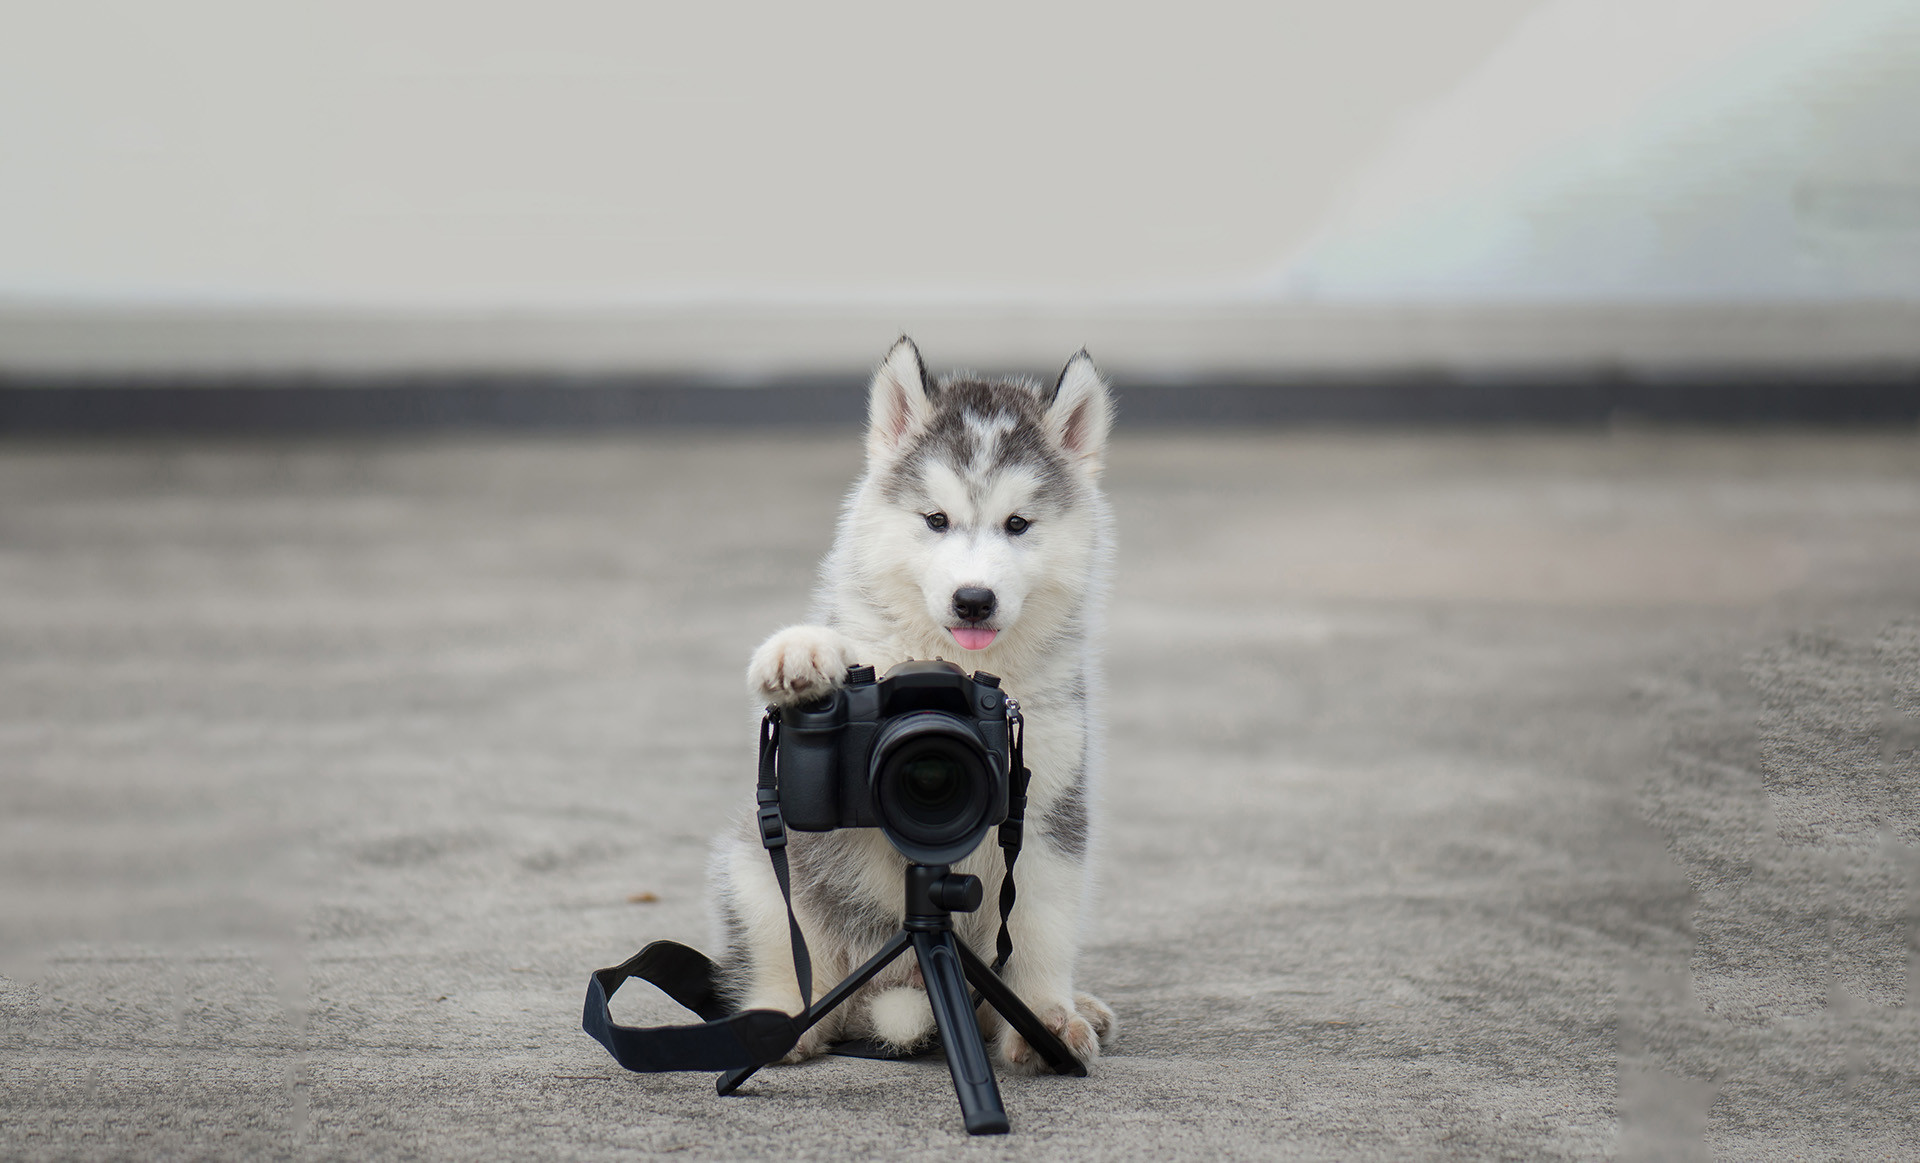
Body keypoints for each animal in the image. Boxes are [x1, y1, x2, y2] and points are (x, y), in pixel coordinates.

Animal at [714, 337, 1121, 1074]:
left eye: (1018, 524)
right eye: (935, 520)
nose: (974, 599)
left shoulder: (1048, 807)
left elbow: (1038, 930)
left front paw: (1046, 1020)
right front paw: (802, 653)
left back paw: (1077, 1007)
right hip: (751, 871)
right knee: (794, 962)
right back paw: (780, 1020)